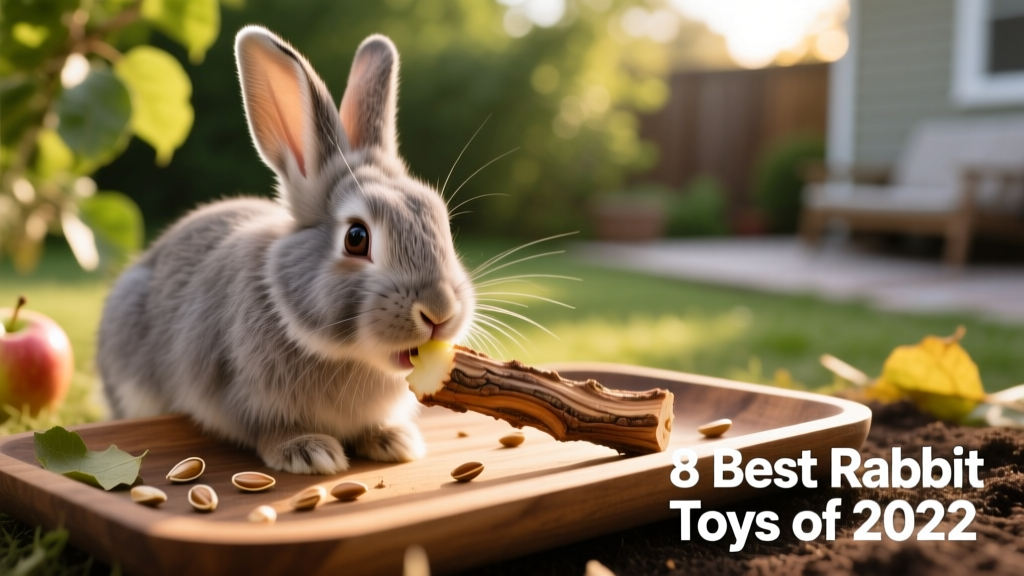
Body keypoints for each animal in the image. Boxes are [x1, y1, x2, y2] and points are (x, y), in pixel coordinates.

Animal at [96, 25, 475, 475]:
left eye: (442, 222)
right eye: (356, 237)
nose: (439, 312)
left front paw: (394, 441)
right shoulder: (240, 395)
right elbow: (268, 430)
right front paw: (309, 453)